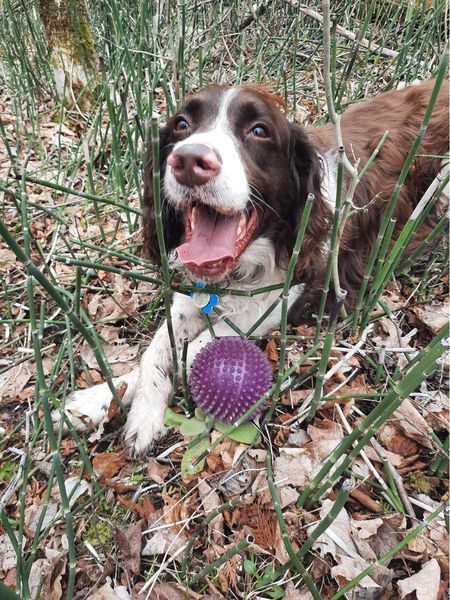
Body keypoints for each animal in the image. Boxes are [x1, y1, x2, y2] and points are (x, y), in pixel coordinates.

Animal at [56, 81, 450, 454]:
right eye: (181, 125)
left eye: (259, 130)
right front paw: (103, 404)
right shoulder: (195, 293)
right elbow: (157, 351)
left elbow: (195, 350)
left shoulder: (290, 299)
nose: (188, 161)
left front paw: (140, 411)